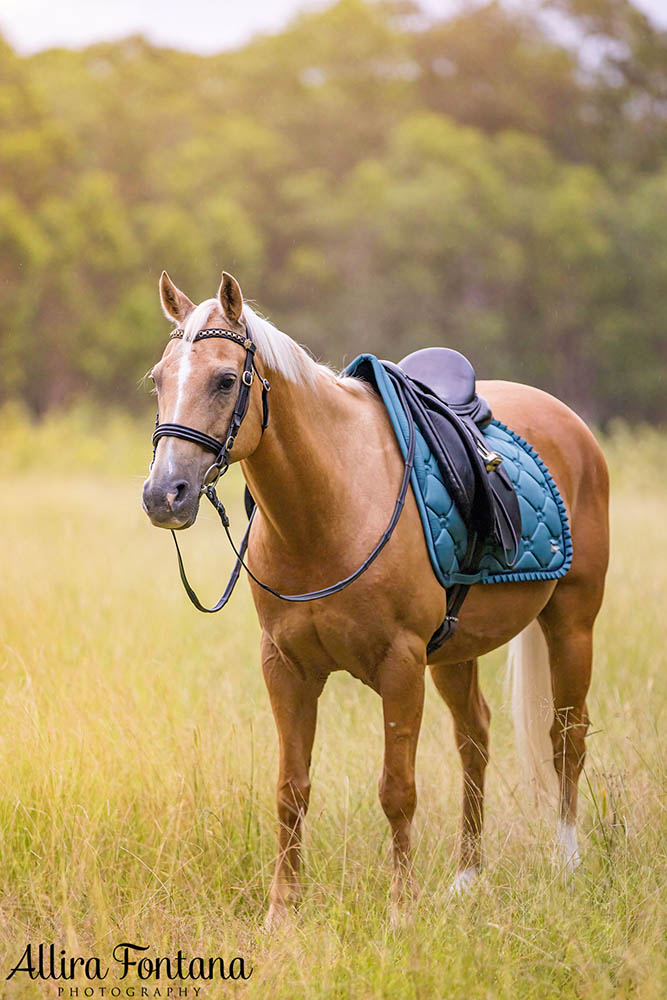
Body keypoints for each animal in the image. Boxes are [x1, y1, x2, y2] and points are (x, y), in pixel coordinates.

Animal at [142, 272, 612, 928]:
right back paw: (467, 877)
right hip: (457, 651)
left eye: (226, 380)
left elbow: (397, 790)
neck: (328, 507)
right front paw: (282, 913)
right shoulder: (285, 666)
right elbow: (291, 789)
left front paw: (400, 911)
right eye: (158, 379)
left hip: (571, 623)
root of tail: (569, 422)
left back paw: (566, 862)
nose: (165, 494)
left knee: (567, 736)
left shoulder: (400, 663)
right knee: (475, 739)